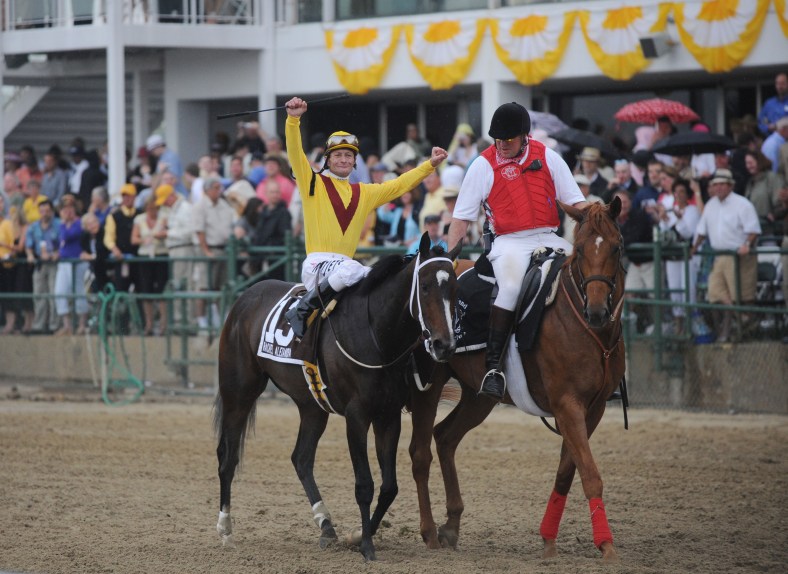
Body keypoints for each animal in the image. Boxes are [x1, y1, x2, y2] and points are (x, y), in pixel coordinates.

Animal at [215, 236, 462, 564]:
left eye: (454, 288)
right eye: (424, 287)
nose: (443, 344)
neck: (375, 334)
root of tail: (244, 298)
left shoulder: (387, 416)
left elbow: (389, 487)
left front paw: (357, 537)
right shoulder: (357, 416)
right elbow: (365, 484)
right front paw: (367, 546)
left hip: (312, 406)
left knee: (301, 458)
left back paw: (326, 525)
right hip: (238, 392)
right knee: (227, 458)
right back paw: (225, 530)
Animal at [410, 199, 624, 564]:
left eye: (616, 246)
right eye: (580, 249)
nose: (596, 311)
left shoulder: (591, 409)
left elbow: (567, 472)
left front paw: (548, 539)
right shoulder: (568, 405)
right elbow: (590, 475)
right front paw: (606, 544)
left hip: (479, 396)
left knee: (446, 437)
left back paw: (451, 525)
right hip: (430, 389)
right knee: (420, 452)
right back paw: (430, 531)